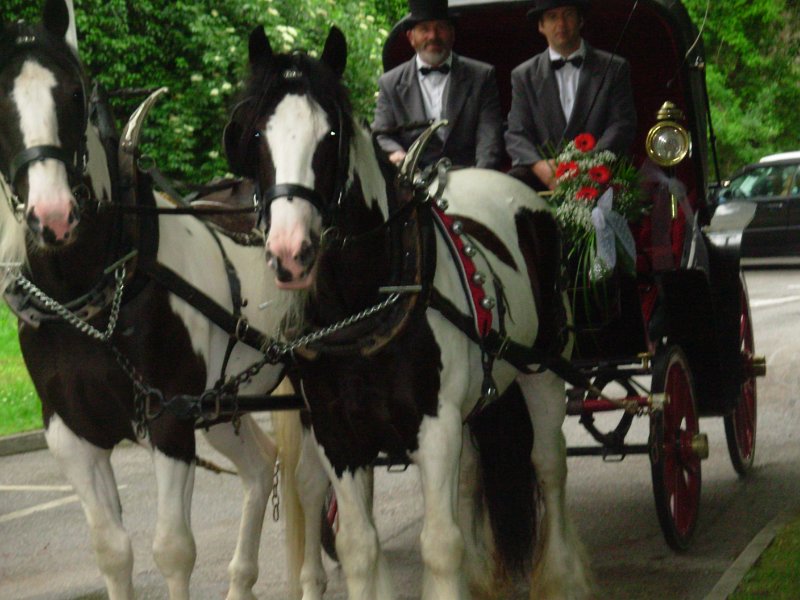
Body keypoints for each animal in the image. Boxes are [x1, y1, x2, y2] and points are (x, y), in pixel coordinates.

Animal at [0, 2, 306, 598]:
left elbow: (172, 549)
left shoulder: (169, 418)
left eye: (75, 93)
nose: (53, 216)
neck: (92, 300)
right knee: (262, 466)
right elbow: (113, 550)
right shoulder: (70, 432)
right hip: (222, 406)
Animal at [223, 24, 593, 599]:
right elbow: (358, 546)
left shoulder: (434, 427)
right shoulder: (337, 436)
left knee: (549, 465)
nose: (290, 252)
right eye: (256, 134)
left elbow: (440, 544)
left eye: (332, 135)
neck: (362, 307)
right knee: (474, 473)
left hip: (545, 370)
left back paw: (562, 576)